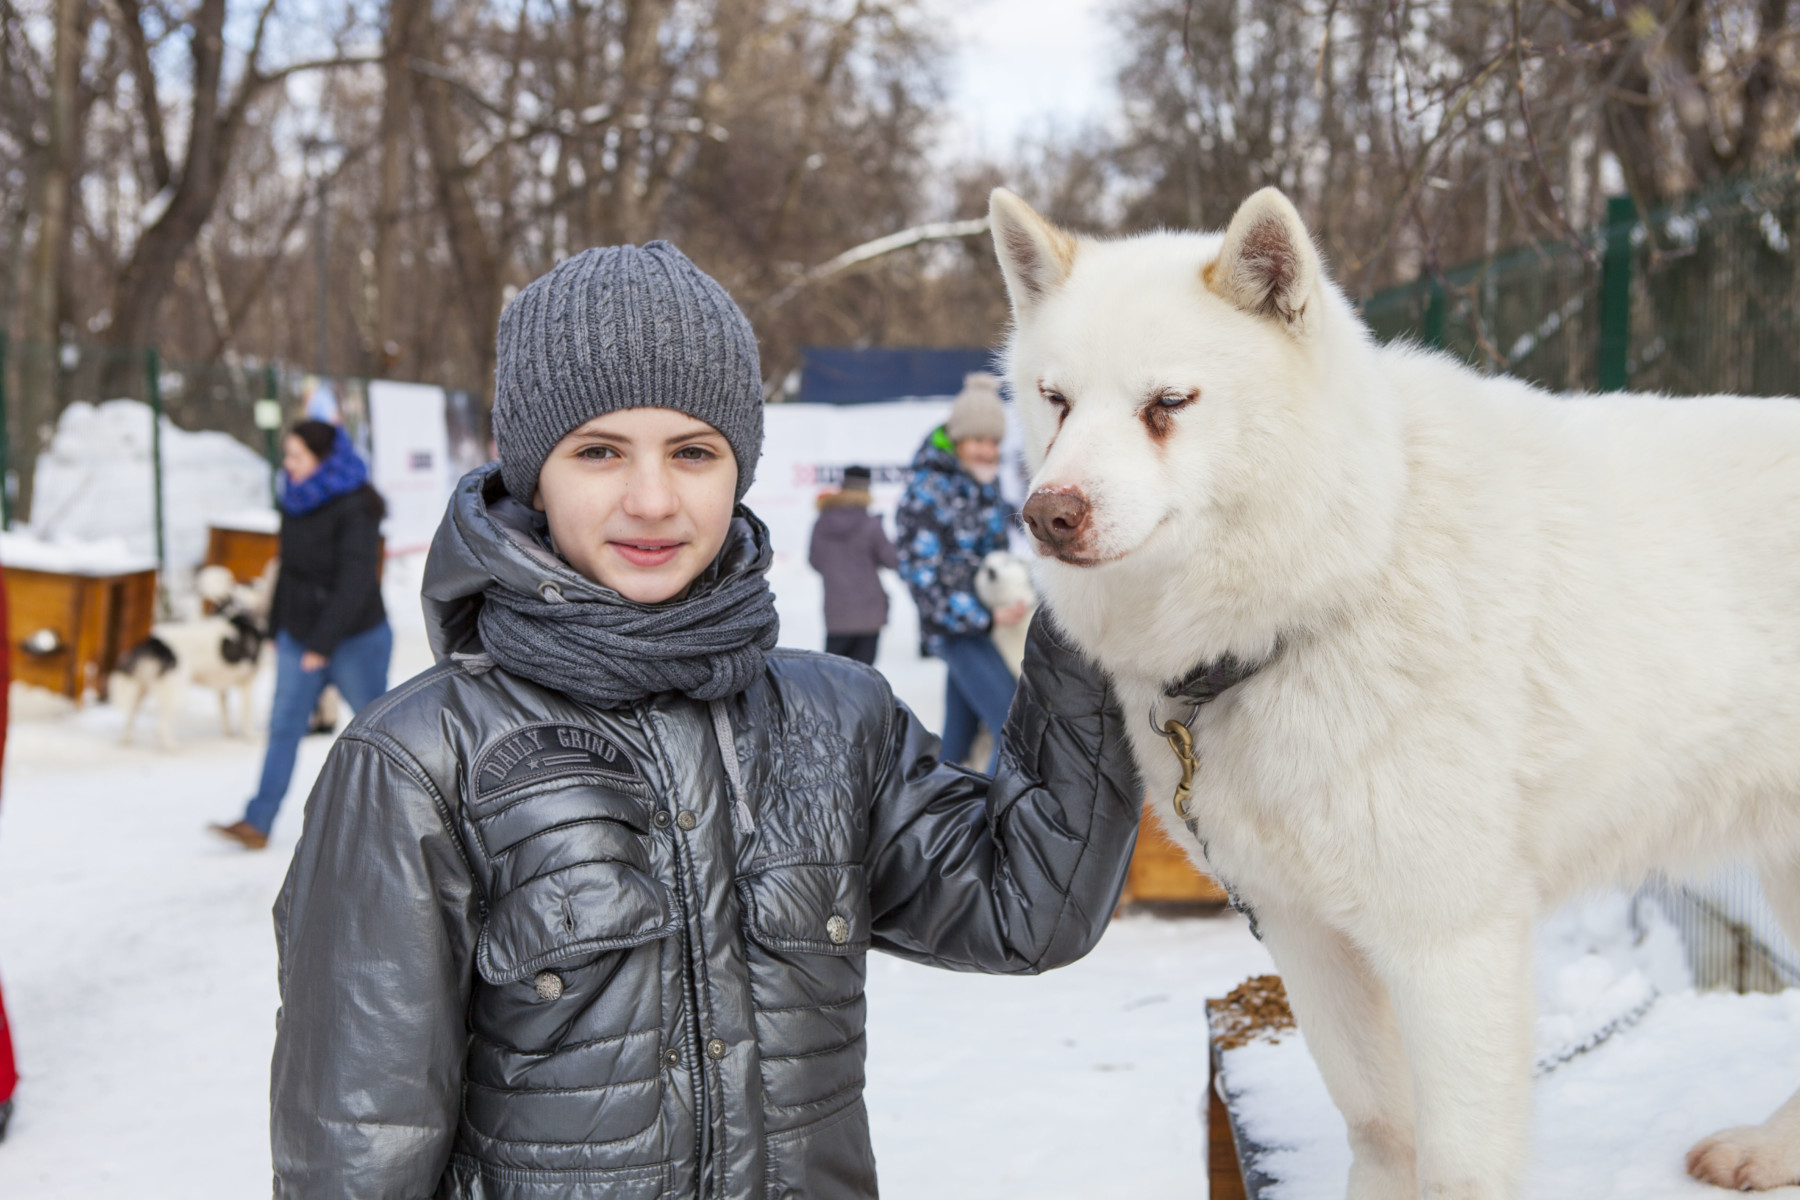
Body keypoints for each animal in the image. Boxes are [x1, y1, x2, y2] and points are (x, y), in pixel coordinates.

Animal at [993, 183, 1800, 1194]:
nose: (1048, 516)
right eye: (1056, 402)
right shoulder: (1303, 932)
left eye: (1167, 403)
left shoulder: (1451, 943)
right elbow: (1381, 1123)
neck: (1344, 574)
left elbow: (1458, 1167)